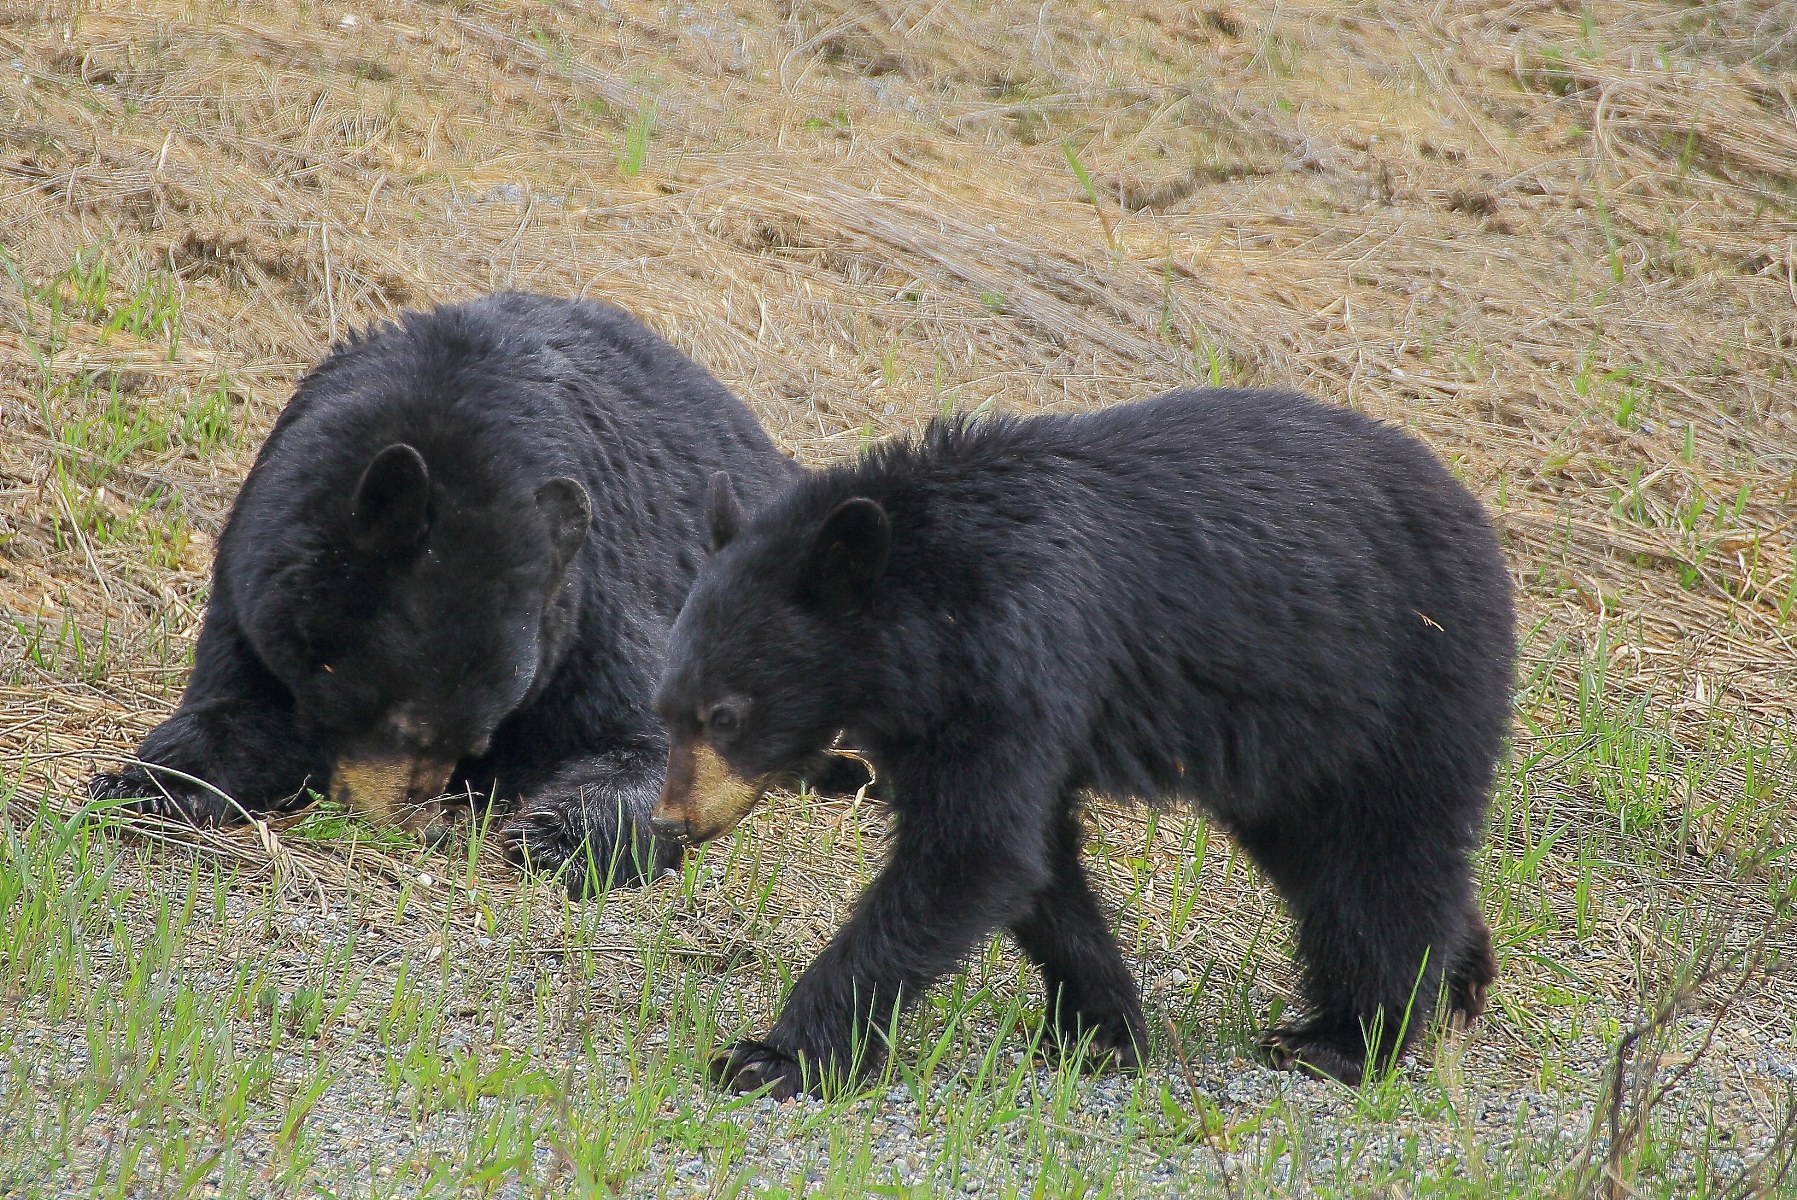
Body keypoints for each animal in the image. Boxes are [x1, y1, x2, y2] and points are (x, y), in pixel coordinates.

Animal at [89, 291, 803, 894]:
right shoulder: (253, 579)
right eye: (400, 722)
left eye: (476, 736)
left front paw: (558, 835)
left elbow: (647, 735)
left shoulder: (590, 599)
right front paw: (145, 784)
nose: (397, 815)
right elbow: (239, 702)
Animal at [649, 387, 1516, 1096]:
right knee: (1326, 858)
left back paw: (1348, 1038)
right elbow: (1036, 866)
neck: (927, 607)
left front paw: (772, 1056)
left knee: (1385, 856)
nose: (671, 822)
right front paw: (1099, 1029)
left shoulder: (1023, 647)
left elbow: (971, 851)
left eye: (724, 714)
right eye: (665, 710)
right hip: (1293, 748)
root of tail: (1473, 511)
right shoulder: (944, 708)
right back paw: (1462, 974)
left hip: (1401, 681)